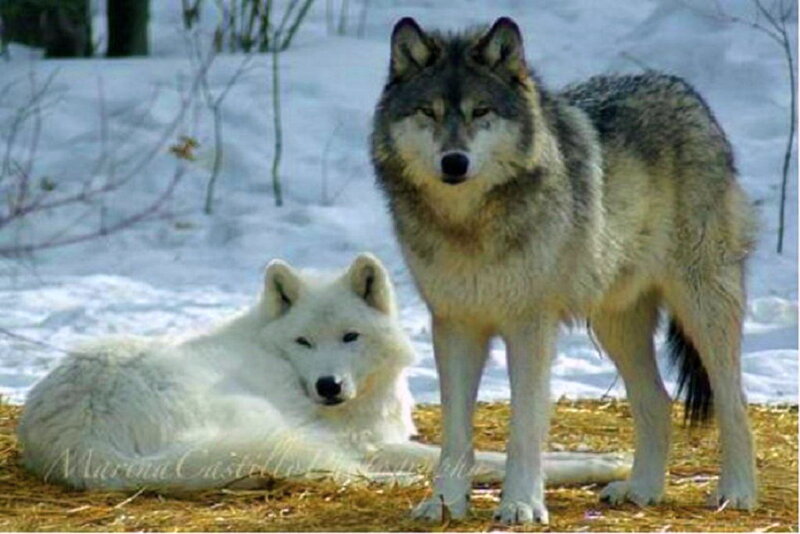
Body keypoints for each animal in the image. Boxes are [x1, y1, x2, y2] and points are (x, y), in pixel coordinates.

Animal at [18, 253, 628, 492]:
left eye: (350, 338)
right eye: (304, 342)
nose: (328, 386)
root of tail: (77, 441)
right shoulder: (372, 444)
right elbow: (496, 460)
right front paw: (608, 464)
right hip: (269, 427)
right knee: (342, 472)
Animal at [371, 17, 758, 525]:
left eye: (480, 112)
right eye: (428, 112)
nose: (454, 162)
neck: (469, 224)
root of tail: (685, 91)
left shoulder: (529, 326)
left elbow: (524, 424)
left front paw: (520, 504)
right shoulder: (455, 325)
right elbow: (455, 432)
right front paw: (444, 503)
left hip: (702, 306)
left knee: (734, 401)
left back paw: (737, 492)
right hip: (616, 323)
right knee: (657, 401)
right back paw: (641, 489)